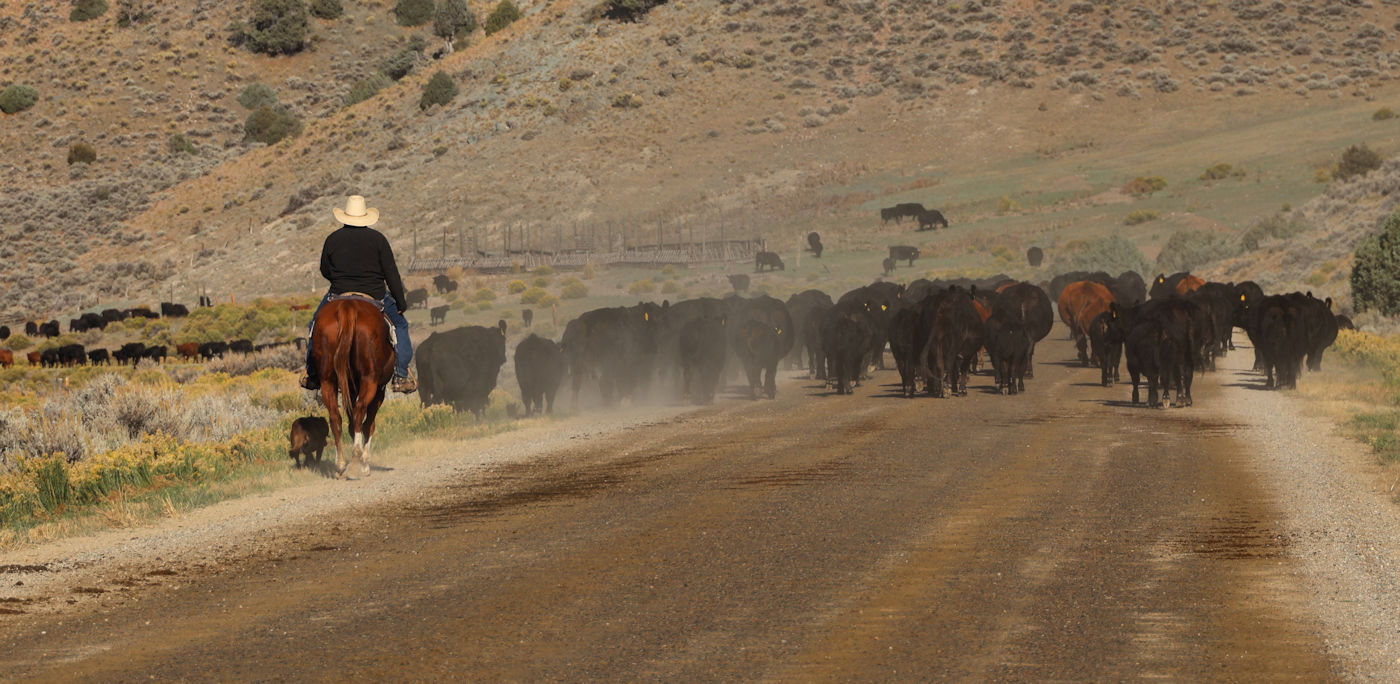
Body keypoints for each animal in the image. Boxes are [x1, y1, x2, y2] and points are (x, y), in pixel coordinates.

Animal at [309, 296, 392, 478]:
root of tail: (348, 306)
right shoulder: (379, 390)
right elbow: (369, 424)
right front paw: (365, 463)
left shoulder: (350, 389)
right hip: (370, 380)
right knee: (360, 412)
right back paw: (356, 458)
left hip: (328, 381)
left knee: (335, 417)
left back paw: (340, 464)